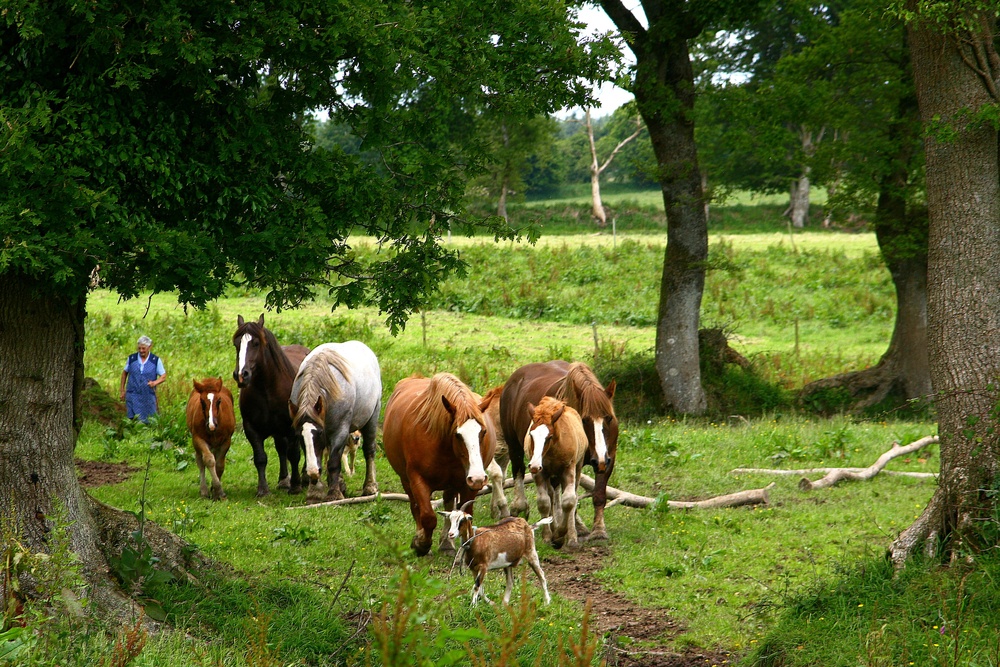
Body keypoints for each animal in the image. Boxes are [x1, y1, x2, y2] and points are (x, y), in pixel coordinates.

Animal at [232, 314, 310, 496]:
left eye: (256, 343)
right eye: (236, 344)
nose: (241, 375)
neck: (267, 388)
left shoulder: (292, 426)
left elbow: (294, 454)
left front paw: (295, 486)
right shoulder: (251, 428)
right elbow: (260, 458)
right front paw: (263, 489)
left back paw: (304, 477)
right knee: (281, 448)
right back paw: (283, 480)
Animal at [292, 342, 384, 504]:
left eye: (319, 433)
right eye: (299, 436)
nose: (313, 472)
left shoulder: (338, 431)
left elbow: (334, 462)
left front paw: (334, 493)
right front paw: (315, 491)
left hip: (371, 418)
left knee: (369, 450)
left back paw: (370, 486)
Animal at [378, 374, 496, 556]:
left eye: (483, 432)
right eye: (458, 435)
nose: (477, 477)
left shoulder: (468, 486)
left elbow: (465, 514)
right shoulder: (417, 480)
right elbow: (427, 516)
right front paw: (421, 543)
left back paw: (446, 543)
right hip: (407, 481)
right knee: (415, 506)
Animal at [524, 400, 584, 552]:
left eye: (549, 437)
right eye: (531, 435)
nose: (533, 465)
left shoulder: (568, 469)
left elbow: (569, 501)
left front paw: (560, 536)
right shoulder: (540, 473)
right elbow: (544, 502)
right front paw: (548, 536)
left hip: (578, 467)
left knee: (573, 497)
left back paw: (572, 537)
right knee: (552, 495)